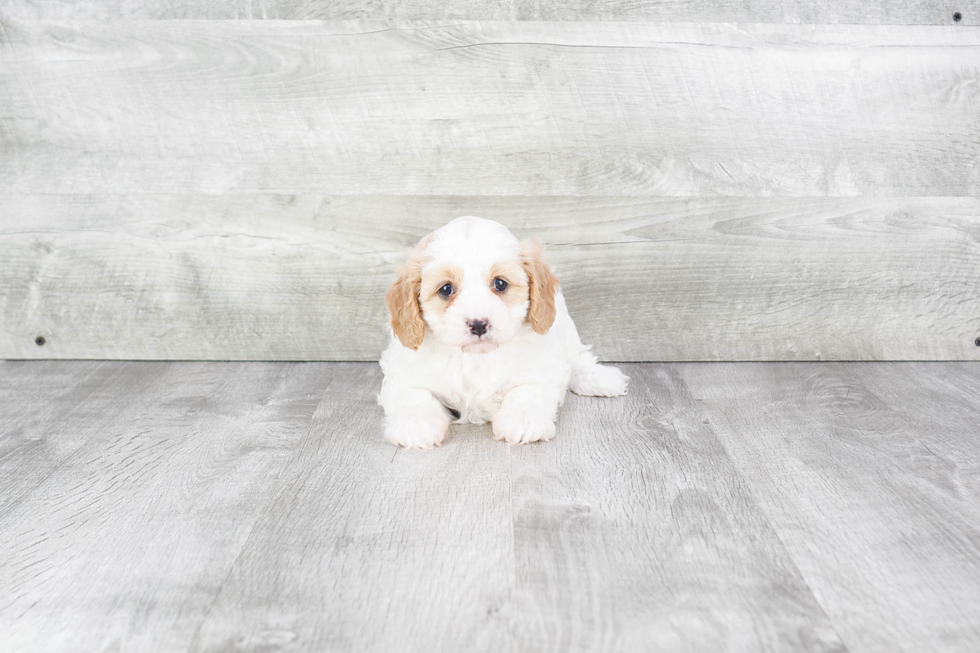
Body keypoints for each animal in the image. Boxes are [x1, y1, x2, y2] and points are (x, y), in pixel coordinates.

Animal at [376, 215, 628, 448]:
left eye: (500, 284)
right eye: (446, 289)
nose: (479, 324)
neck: (477, 357)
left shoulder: (542, 366)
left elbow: (527, 391)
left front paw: (524, 420)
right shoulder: (404, 372)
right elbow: (413, 394)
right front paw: (414, 424)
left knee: (577, 358)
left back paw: (600, 378)